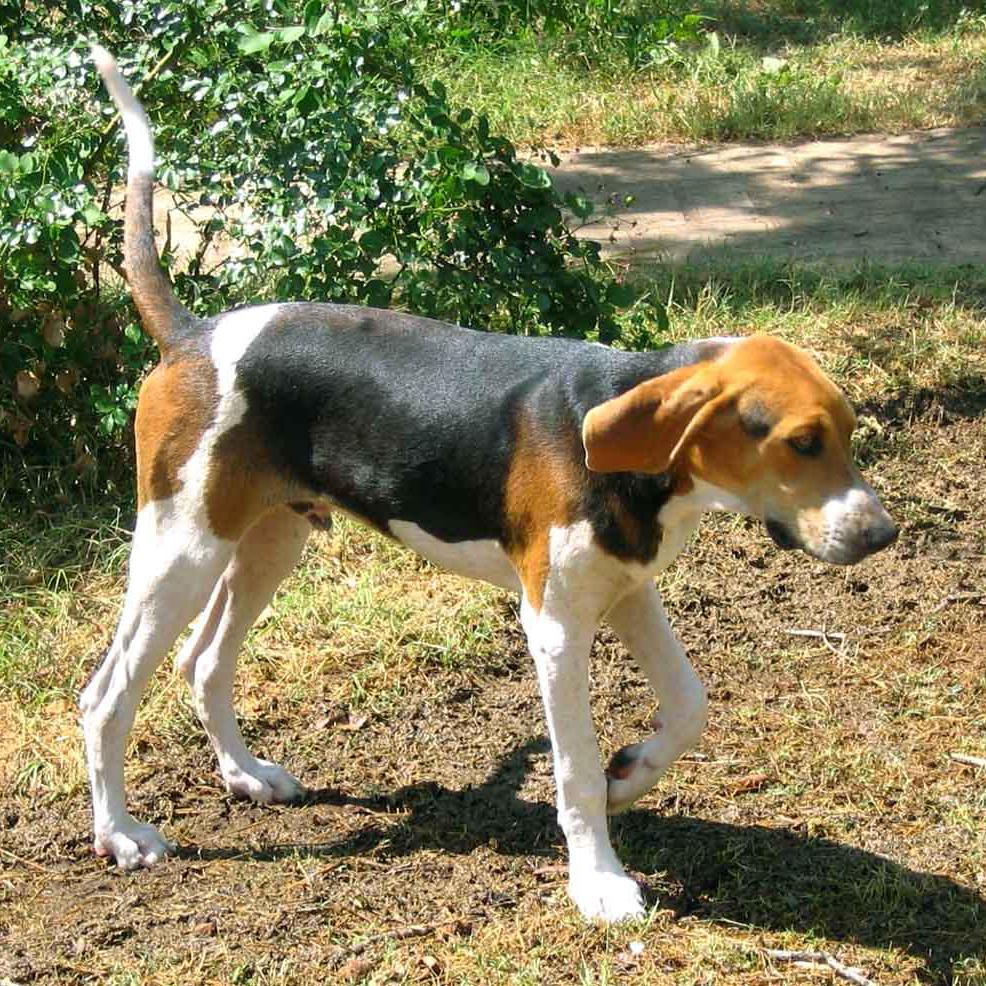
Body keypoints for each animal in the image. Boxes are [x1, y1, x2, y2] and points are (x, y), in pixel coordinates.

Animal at [86, 46, 900, 924]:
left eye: (849, 432)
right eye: (802, 443)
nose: (882, 534)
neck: (643, 463)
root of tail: (193, 335)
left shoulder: (627, 589)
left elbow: (689, 705)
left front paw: (631, 776)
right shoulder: (555, 626)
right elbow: (573, 770)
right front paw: (599, 880)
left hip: (269, 538)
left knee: (203, 662)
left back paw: (245, 776)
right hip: (180, 549)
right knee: (106, 697)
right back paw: (121, 835)